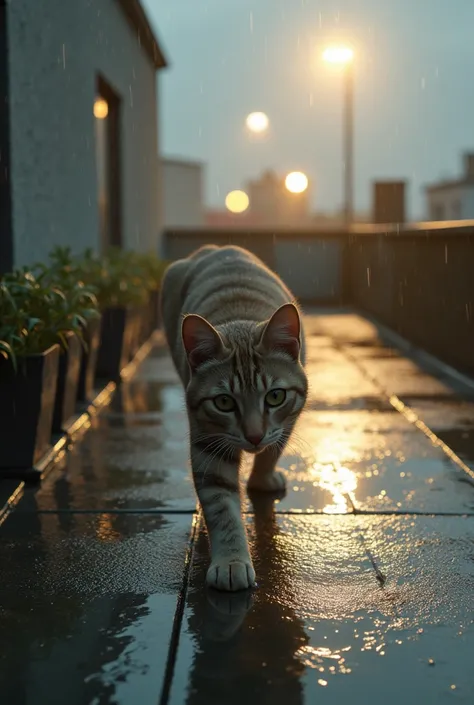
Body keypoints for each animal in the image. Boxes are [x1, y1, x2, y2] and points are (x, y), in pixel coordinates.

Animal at [159, 245, 308, 592]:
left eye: (275, 396)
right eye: (224, 402)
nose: (253, 436)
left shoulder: (288, 420)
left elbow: (273, 450)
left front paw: (263, 479)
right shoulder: (207, 442)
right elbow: (222, 506)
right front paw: (231, 562)